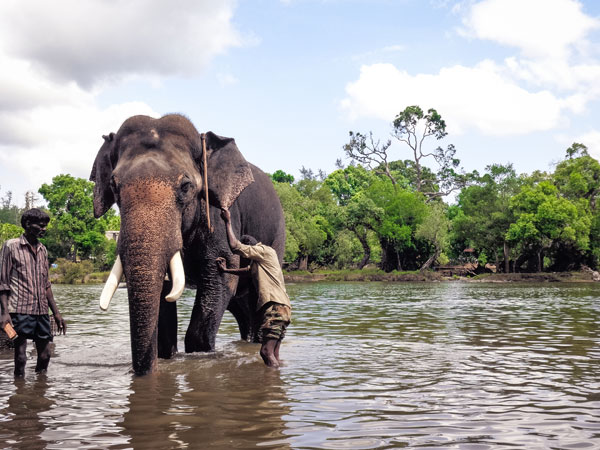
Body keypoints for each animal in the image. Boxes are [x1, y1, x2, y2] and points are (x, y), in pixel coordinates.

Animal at [89, 114, 286, 374]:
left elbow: (219, 277)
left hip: (278, 238)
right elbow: (164, 291)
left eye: (185, 187)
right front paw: (164, 355)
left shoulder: (215, 212)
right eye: (113, 186)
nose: (142, 373)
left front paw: (200, 354)